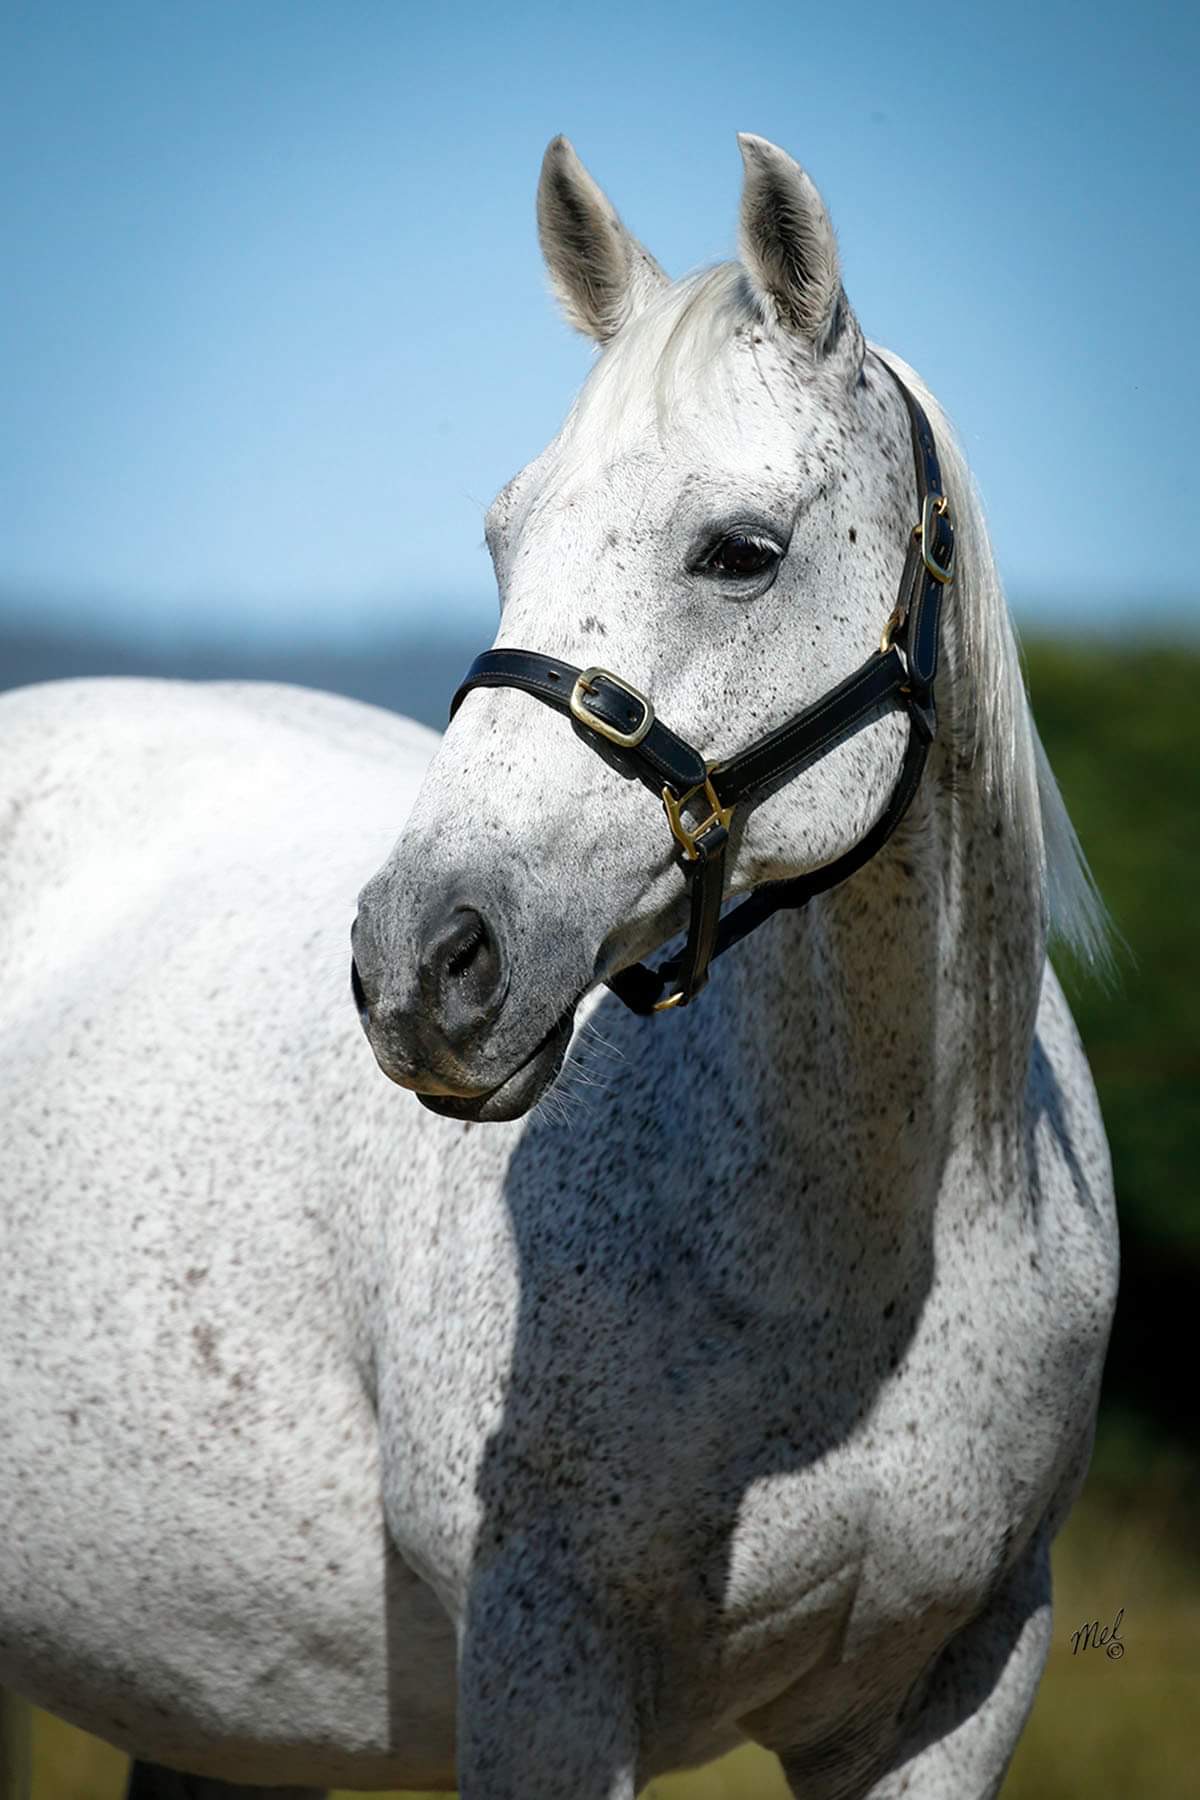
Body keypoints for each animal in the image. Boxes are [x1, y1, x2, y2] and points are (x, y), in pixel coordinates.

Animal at [0, 134, 1117, 1800]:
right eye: (503, 537)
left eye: (741, 554)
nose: (419, 962)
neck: (876, 1253)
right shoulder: (545, 1680)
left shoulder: (960, 1690)